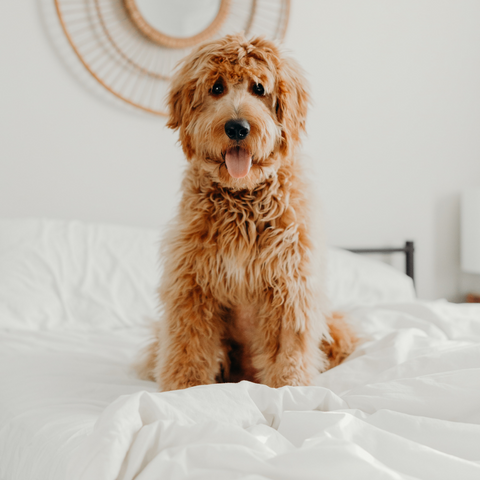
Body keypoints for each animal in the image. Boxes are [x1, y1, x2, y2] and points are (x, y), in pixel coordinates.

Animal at [137, 33, 358, 392]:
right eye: (216, 87)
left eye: (259, 88)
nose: (237, 128)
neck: (242, 198)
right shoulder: (191, 282)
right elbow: (189, 344)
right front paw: (184, 389)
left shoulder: (289, 282)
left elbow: (287, 348)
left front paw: (290, 388)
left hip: (336, 327)